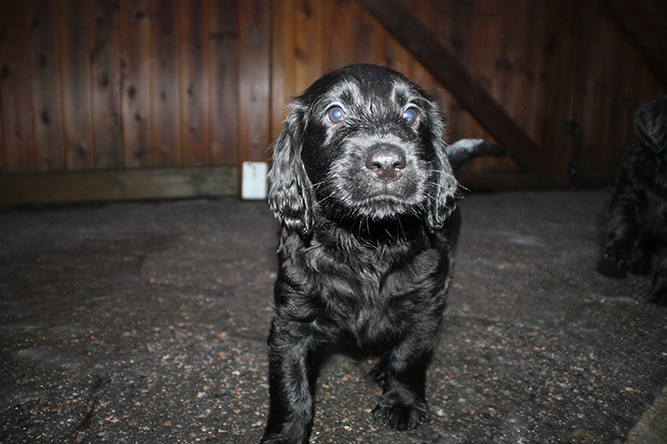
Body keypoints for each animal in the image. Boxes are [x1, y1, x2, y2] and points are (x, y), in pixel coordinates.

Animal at [261, 64, 506, 443]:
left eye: (411, 113)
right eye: (335, 112)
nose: (388, 162)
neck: (368, 241)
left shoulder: (425, 306)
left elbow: (409, 356)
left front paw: (402, 402)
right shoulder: (293, 319)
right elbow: (289, 385)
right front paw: (285, 435)